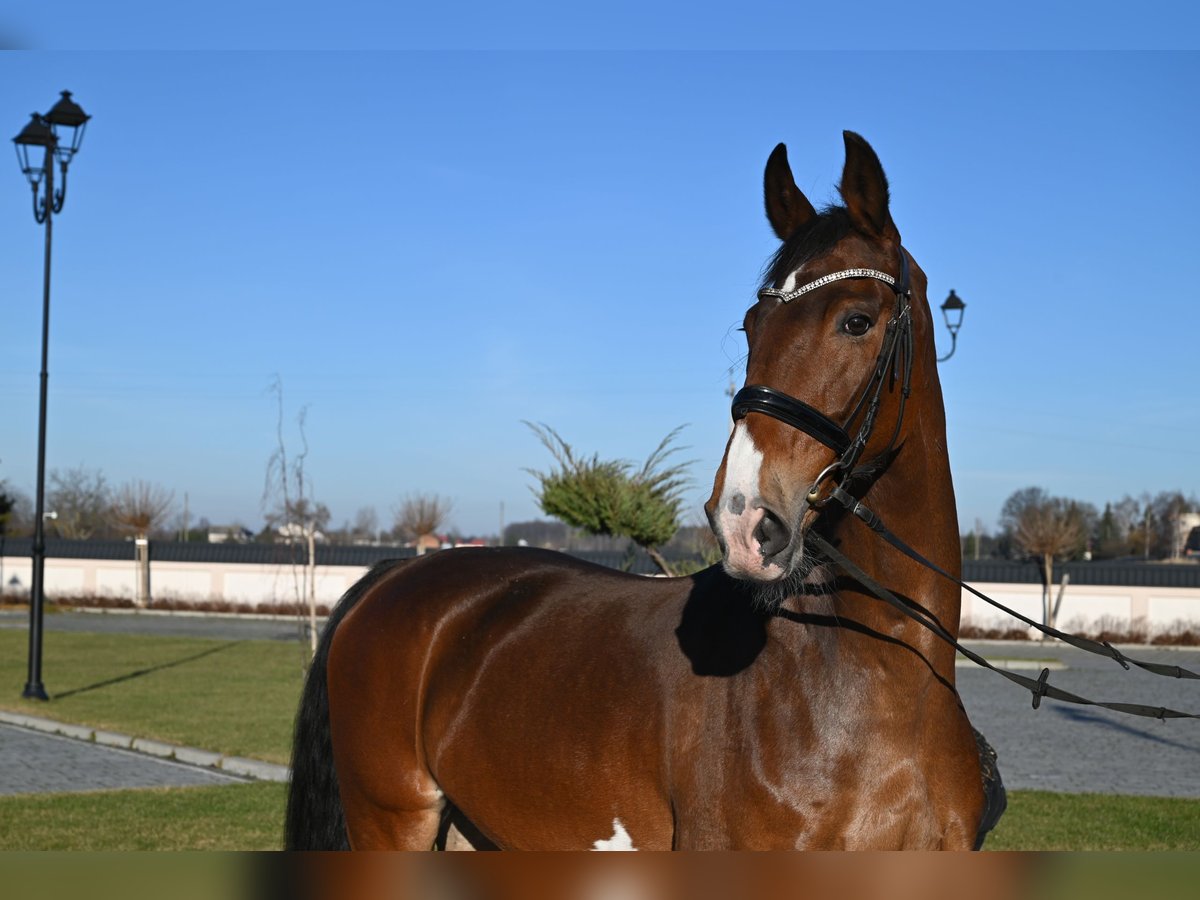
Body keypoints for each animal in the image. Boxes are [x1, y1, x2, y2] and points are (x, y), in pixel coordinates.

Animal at [283, 130, 1003, 849]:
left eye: (857, 321)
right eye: (751, 326)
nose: (745, 518)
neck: (880, 685)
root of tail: (396, 575)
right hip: (391, 824)